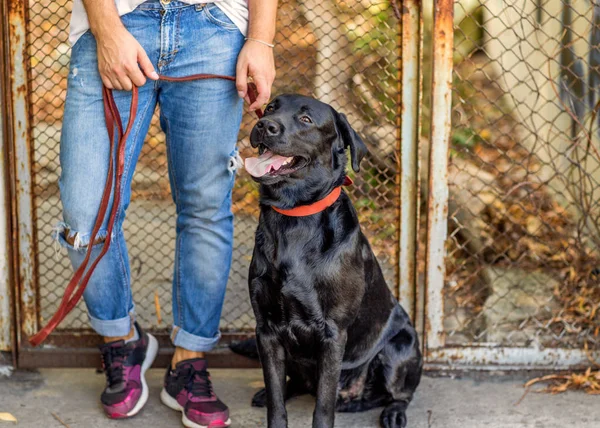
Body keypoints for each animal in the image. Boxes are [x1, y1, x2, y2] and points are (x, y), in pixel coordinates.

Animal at [241, 94, 420, 428]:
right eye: (270, 108)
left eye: (306, 119)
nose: (263, 125)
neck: (294, 217)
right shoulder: (266, 331)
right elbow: (275, 398)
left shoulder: (333, 333)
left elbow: (323, 406)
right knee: (293, 383)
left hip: (401, 348)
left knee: (399, 394)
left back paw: (393, 413)